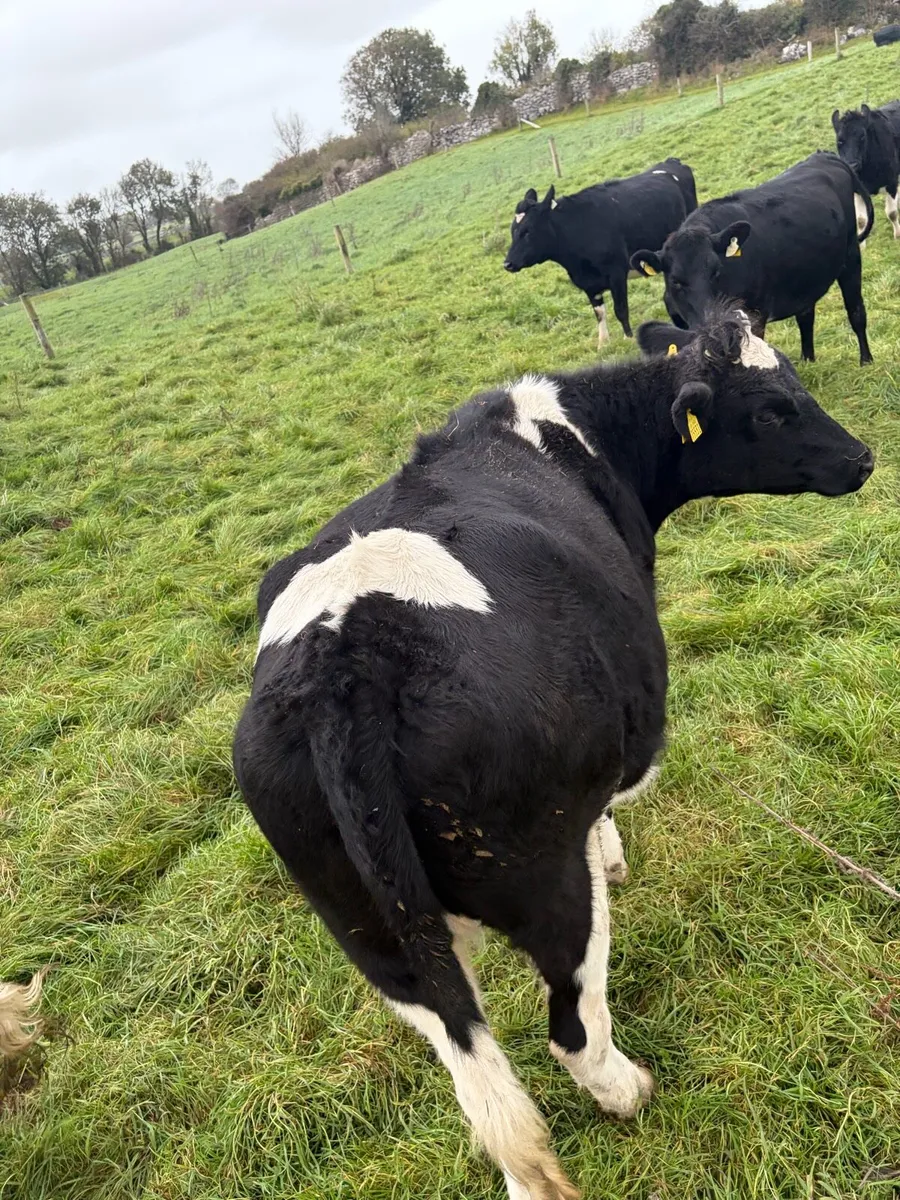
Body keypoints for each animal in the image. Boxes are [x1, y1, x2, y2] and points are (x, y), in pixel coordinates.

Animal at [233, 305, 873, 1200]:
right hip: (544, 882)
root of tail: (348, 659)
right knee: (571, 1026)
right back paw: (629, 1089)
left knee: (470, 1067)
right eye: (774, 410)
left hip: (372, 931)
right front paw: (615, 851)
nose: (863, 458)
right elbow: (604, 819)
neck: (563, 434)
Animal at [504, 159, 697, 348]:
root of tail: (671, 161)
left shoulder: (616, 274)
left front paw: (628, 338)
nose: (507, 264)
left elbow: (620, 309)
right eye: (513, 230)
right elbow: (599, 313)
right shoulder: (588, 283)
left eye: (527, 231)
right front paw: (603, 343)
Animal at [631, 152, 874, 365]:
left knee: (856, 311)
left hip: (851, 256)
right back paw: (808, 360)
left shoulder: (754, 316)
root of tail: (824, 156)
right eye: (676, 281)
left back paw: (866, 361)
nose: (712, 329)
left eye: (716, 272)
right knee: (806, 317)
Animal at [833, 101, 900, 242]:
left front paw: (897, 235)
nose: (852, 165)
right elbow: (861, 220)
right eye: (839, 141)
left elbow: (892, 213)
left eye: (862, 136)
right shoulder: (857, 191)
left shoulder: (891, 181)